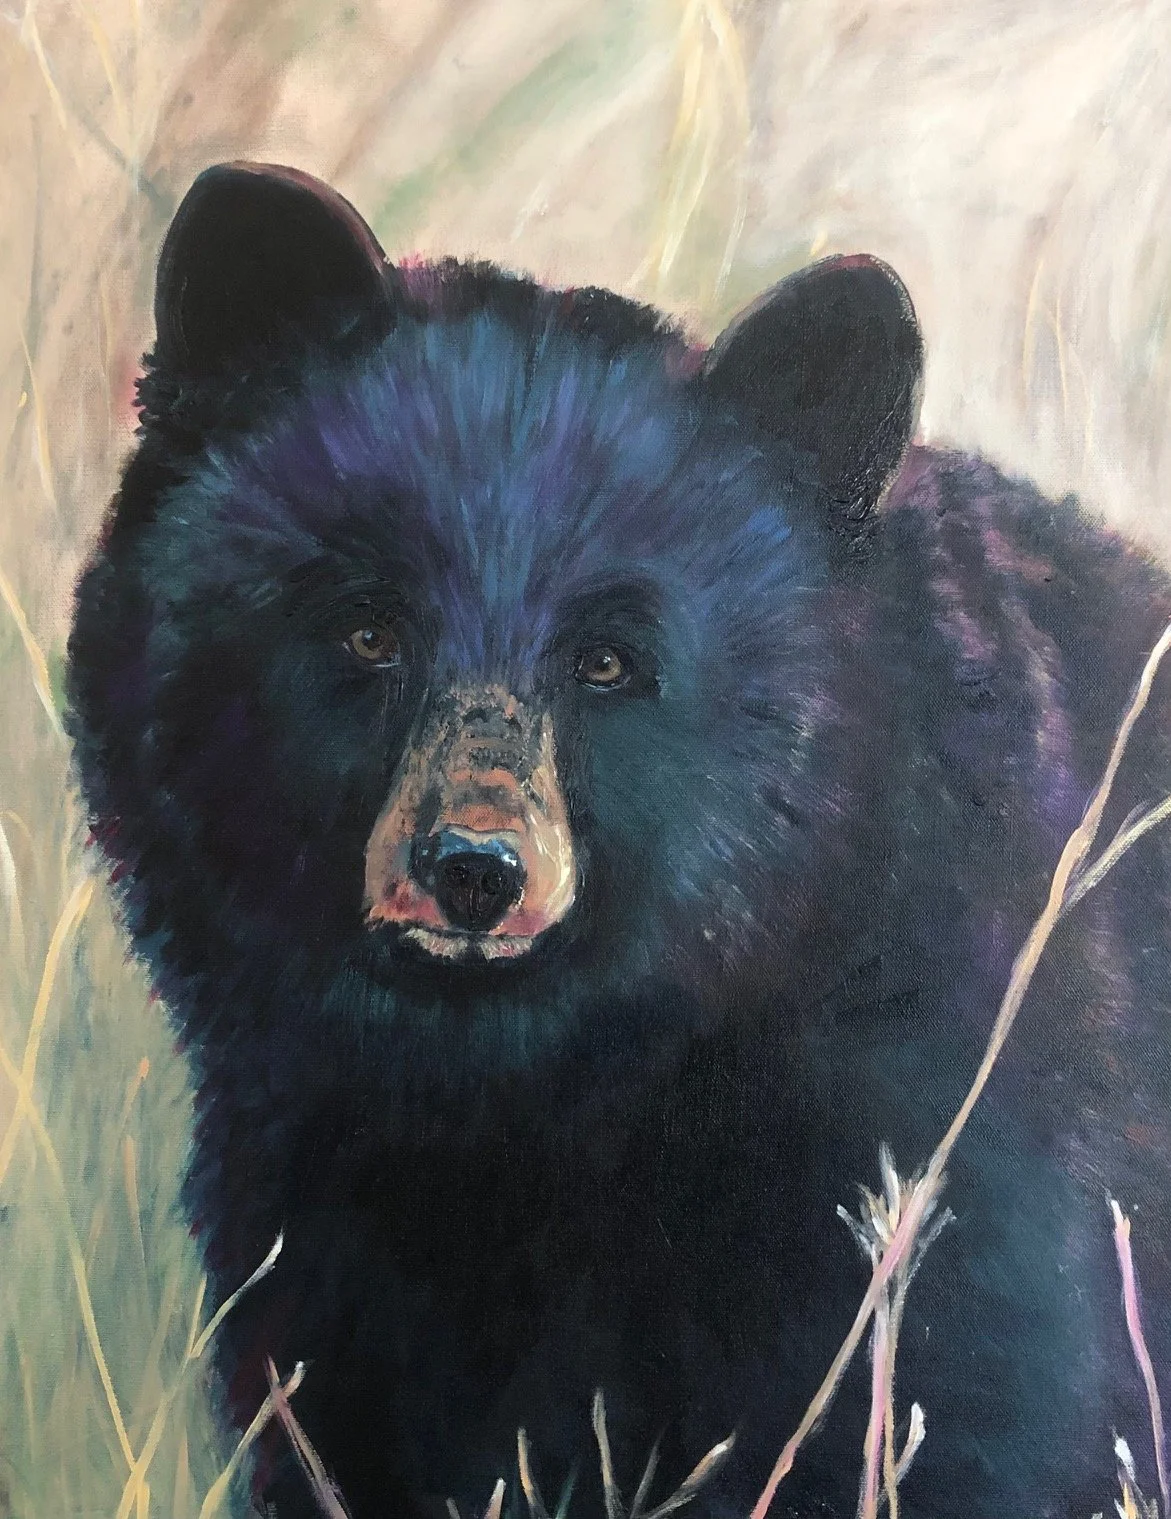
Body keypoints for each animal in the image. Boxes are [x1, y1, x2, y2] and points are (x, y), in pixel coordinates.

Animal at [66, 161, 1171, 1519]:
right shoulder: (327, 1231)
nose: (471, 870)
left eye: (609, 660)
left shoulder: (963, 1150)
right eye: (368, 628)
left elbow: (988, 1410)